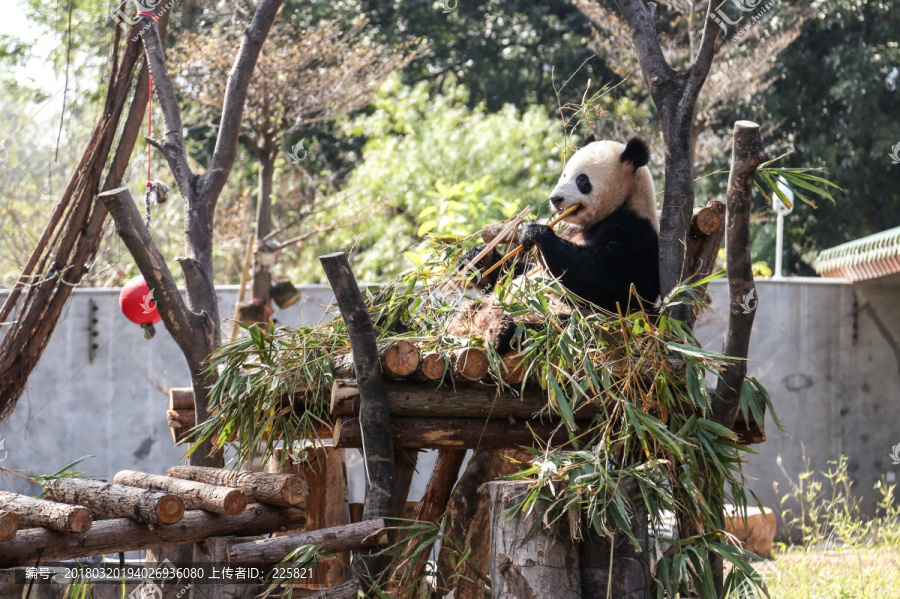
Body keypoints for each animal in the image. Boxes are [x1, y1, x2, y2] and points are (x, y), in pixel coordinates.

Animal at [450, 138, 660, 354]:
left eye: (582, 179)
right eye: (564, 175)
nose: (555, 198)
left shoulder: (635, 234)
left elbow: (610, 283)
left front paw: (536, 232)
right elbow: (517, 270)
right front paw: (478, 258)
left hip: (560, 319)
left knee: (546, 328)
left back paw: (501, 333)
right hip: (477, 307)